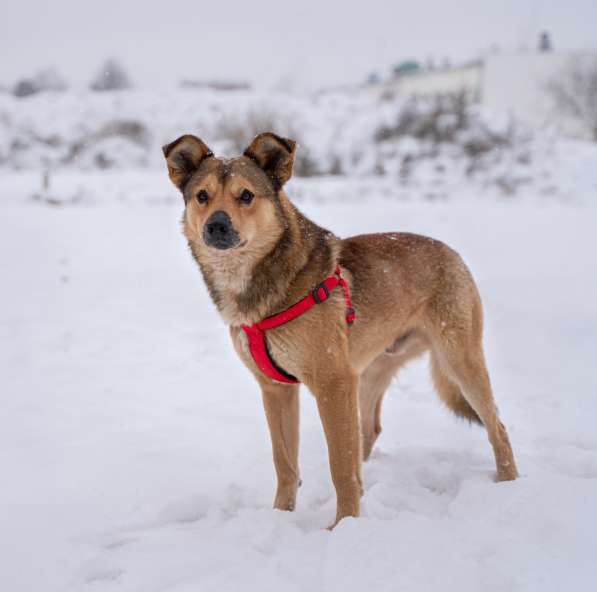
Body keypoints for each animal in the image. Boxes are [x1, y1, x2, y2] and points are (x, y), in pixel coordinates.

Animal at [163, 133, 516, 528]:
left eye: (246, 196)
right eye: (202, 196)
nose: (216, 226)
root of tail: (451, 252)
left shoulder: (331, 382)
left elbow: (339, 465)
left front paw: (343, 526)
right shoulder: (276, 389)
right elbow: (285, 463)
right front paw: (280, 518)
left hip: (458, 361)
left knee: (497, 427)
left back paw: (508, 484)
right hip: (368, 372)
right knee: (368, 432)